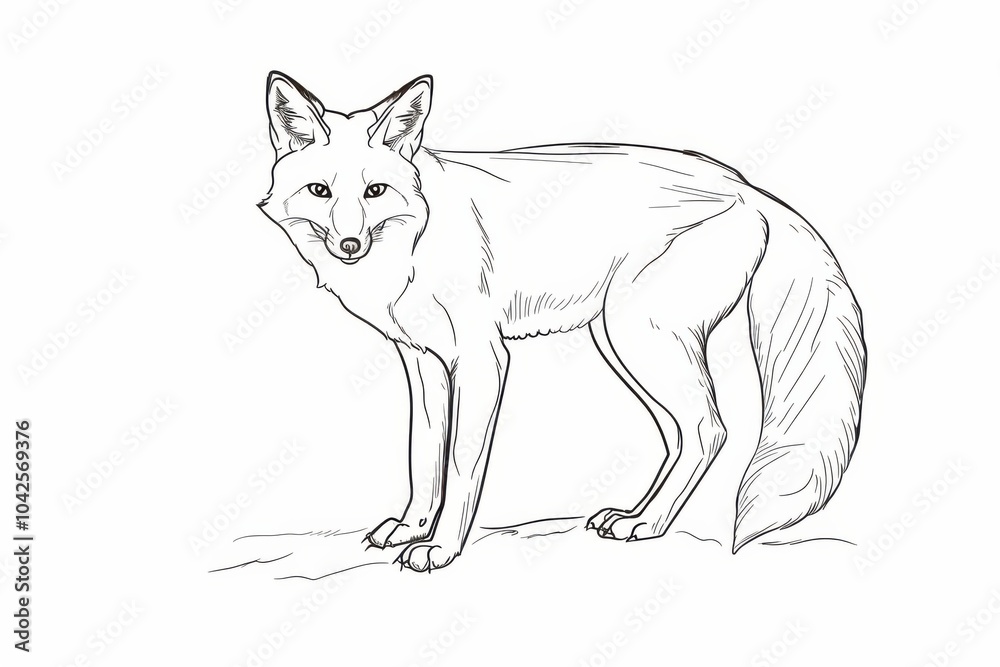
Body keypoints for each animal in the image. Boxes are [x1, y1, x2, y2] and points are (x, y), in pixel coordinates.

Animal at [258, 72, 866, 572]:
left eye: (375, 191)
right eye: (320, 191)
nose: (349, 244)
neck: (414, 244)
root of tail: (747, 185)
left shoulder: (483, 360)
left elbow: (461, 468)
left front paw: (441, 548)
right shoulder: (424, 363)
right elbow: (423, 457)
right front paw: (410, 529)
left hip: (640, 338)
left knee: (709, 429)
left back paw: (650, 524)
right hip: (622, 345)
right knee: (681, 435)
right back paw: (635, 516)